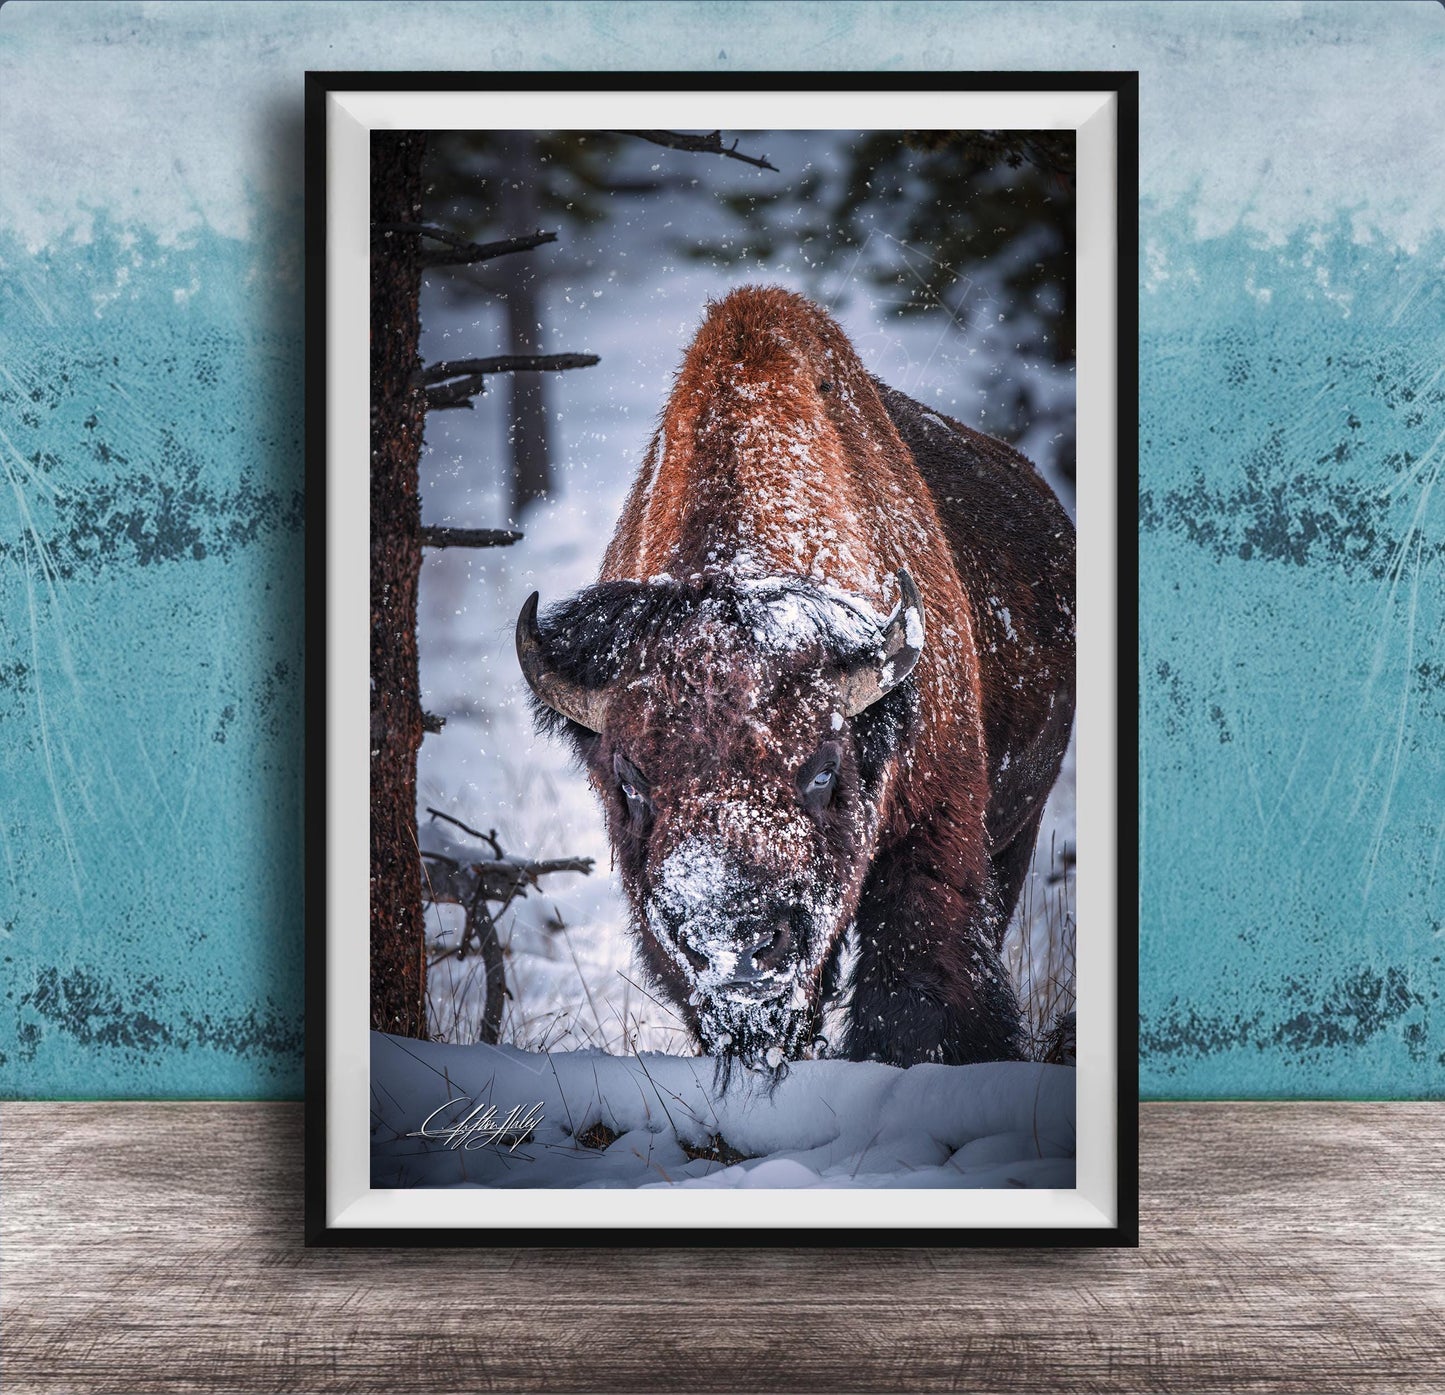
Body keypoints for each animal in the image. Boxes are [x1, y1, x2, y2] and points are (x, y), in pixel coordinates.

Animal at [518, 286, 1075, 1070]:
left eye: (822, 769)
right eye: (629, 780)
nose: (734, 944)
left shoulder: (935, 832)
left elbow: (916, 985)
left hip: (1017, 828)